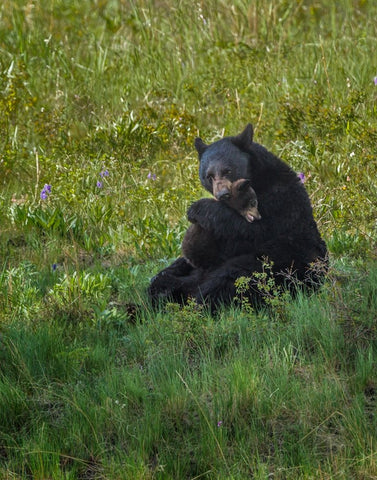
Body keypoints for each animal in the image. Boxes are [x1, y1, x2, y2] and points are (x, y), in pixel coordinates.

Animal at [147, 124, 326, 310]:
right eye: (209, 176)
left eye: (228, 170)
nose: (222, 194)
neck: (259, 179)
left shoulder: (279, 200)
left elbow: (253, 230)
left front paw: (196, 208)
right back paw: (161, 289)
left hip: (281, 261)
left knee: (231, 278)